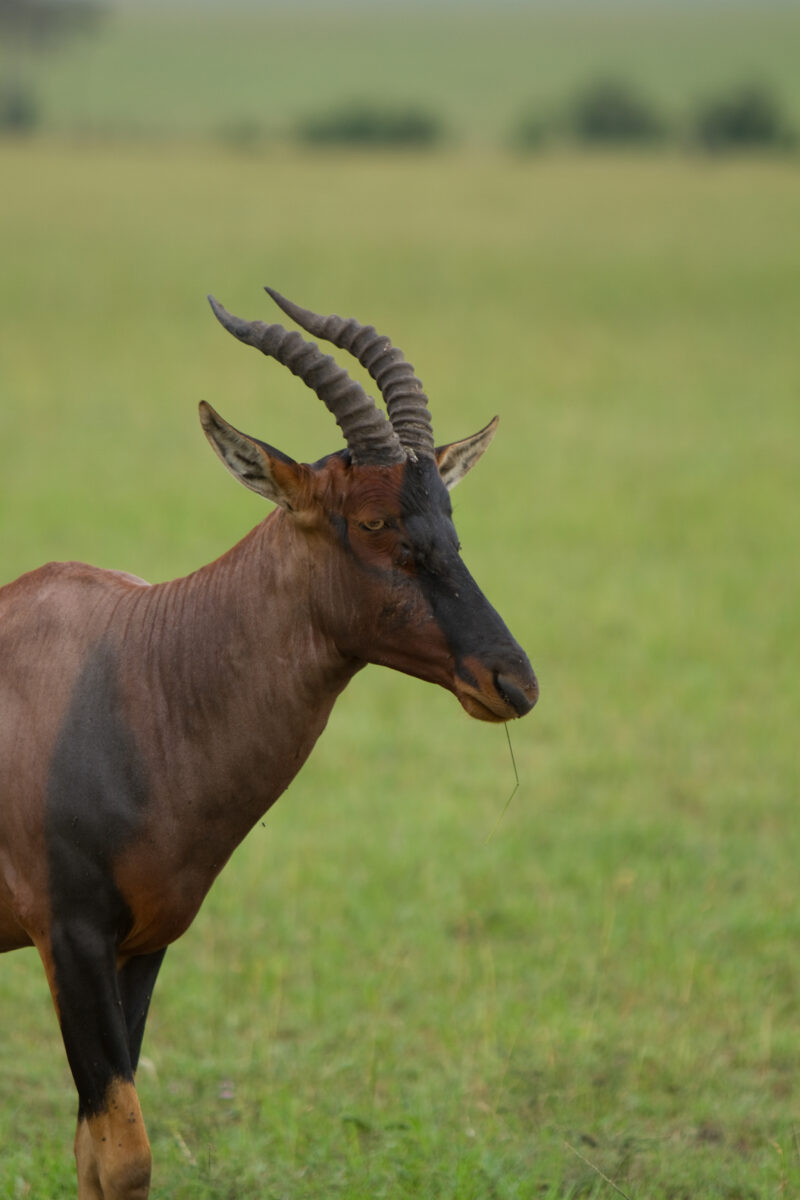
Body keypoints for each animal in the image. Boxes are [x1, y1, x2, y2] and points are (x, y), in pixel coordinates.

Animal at [0, 287, 538, 1199]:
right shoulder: (68, 937)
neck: (137, 662)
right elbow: (125, 1155)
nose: (513, 681)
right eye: (372, 520)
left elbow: (97, 1155)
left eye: (449, 518)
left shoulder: (144, 944)